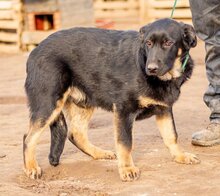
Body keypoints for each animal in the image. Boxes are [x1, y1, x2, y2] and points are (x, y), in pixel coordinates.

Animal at [23, 17, 199, 181]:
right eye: (148, 43)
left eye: (168, 43)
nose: (151, 69)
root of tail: (35, 50)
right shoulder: (123, 110)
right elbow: (125, 143)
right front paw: (127, 169)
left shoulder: (164, 109)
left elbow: (171, 135)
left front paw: (180, 156)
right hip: (49, 102)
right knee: (28, 137)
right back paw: (31, 167)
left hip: (84, 102)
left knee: (75, 133)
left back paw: (98, 153)